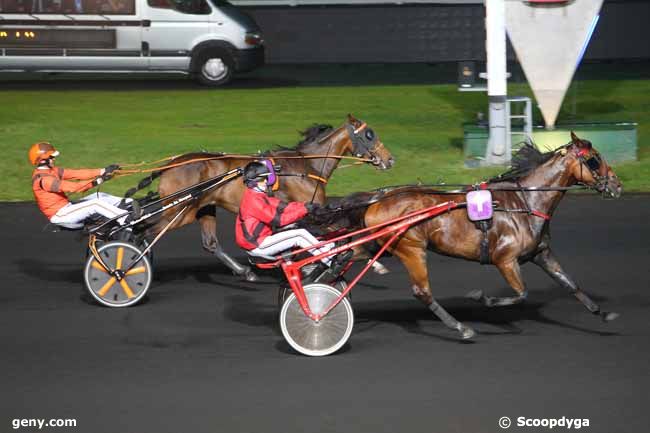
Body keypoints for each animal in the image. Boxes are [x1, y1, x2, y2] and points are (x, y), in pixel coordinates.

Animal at [306, 132, 620, 338]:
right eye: (594, 160)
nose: (616, 185)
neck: (525, 202)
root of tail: (378, 198)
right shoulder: (505, 259)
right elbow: (521, 294)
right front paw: (482, 299)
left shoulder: (541, 253)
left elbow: (570, 283)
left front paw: (603, 313)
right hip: (411, 248)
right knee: (422, 291)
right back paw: (461, 327)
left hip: (375, 244)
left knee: (343, 258)